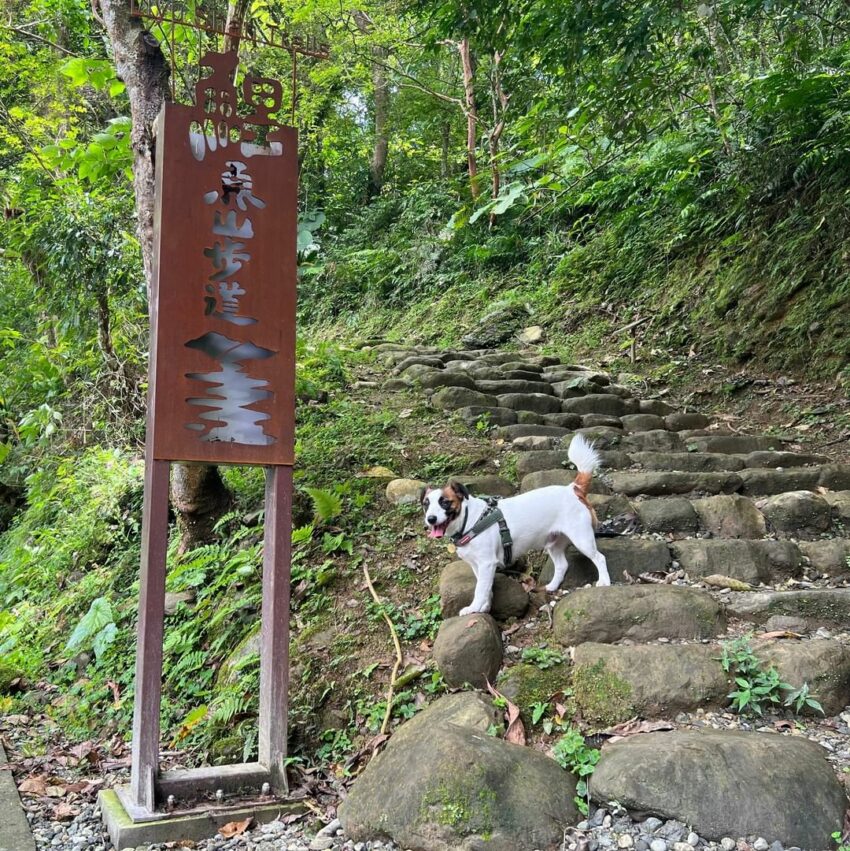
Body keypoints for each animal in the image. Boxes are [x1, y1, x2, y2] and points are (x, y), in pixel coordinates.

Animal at [420, 432, 608, 612]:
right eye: (426, 504)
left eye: (445, 502)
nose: (430, 519)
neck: (470, 521)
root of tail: (573, 489)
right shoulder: (478, 566)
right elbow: (486, 588)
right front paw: (485, 606)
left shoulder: (487, 564)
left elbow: (480, 589)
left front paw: (474, 608)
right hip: (554, 542)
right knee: (562, 565)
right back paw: (552, 586)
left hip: (582, 539)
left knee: (600, 558)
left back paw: (604, 582)